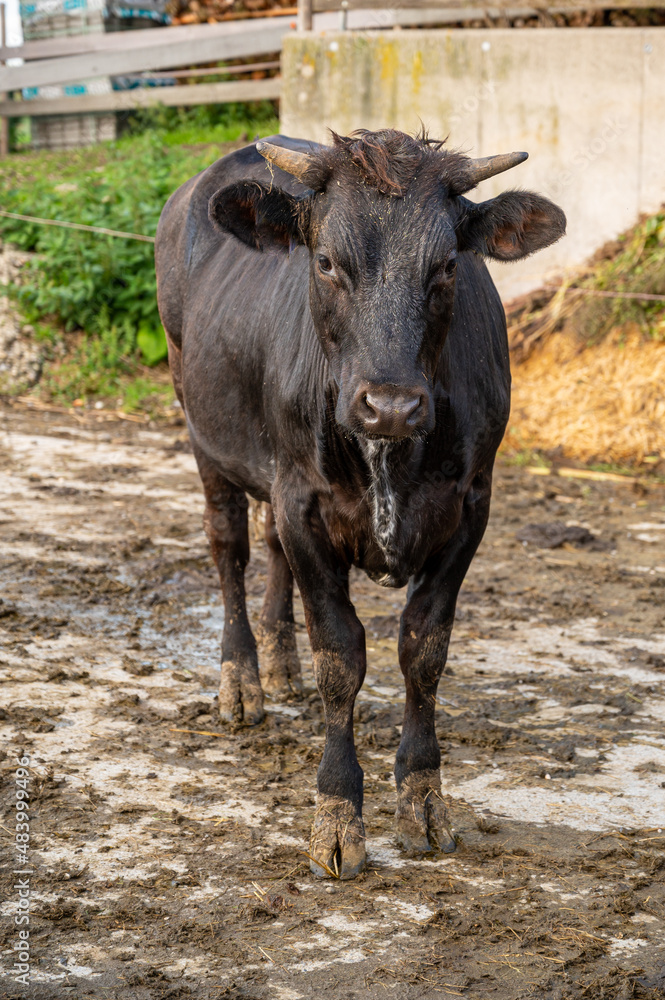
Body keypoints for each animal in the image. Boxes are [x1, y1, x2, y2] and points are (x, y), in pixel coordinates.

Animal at [157, 129, 564, 880]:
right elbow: (341, 657)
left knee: (268, 548)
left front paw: (424, 799)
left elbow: (423, 650)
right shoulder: (304, 501)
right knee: (229, 551)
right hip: (201, 430)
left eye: (446, 267)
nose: (391, 405)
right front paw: (337, 812)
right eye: (325, 263)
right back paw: (242, 680)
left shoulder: (470, 510)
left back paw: (280, 665)